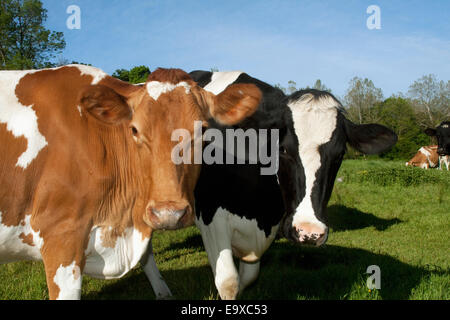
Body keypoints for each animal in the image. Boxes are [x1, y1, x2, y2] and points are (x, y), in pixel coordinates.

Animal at [190, 70, 398, 300]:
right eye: (282, 149)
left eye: (340, 154)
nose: (309, 231)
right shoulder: (210, 215)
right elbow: (228, 282)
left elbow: (248, 277)